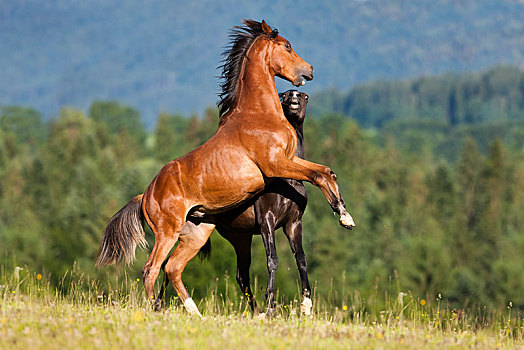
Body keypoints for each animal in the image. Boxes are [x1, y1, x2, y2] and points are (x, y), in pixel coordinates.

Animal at [96, 19, 354, 318]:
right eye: (287, 46)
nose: (309, 70)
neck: (257, 114)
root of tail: (145, 195)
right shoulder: (276, 165)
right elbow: (317, 175)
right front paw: (344, 217)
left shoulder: (289, 160)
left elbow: (326, 171)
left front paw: (346, 217)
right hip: (167, 232)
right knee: (151, 269)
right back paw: (157, 313)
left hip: (195, 234)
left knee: (172, 268)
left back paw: (195, 314)